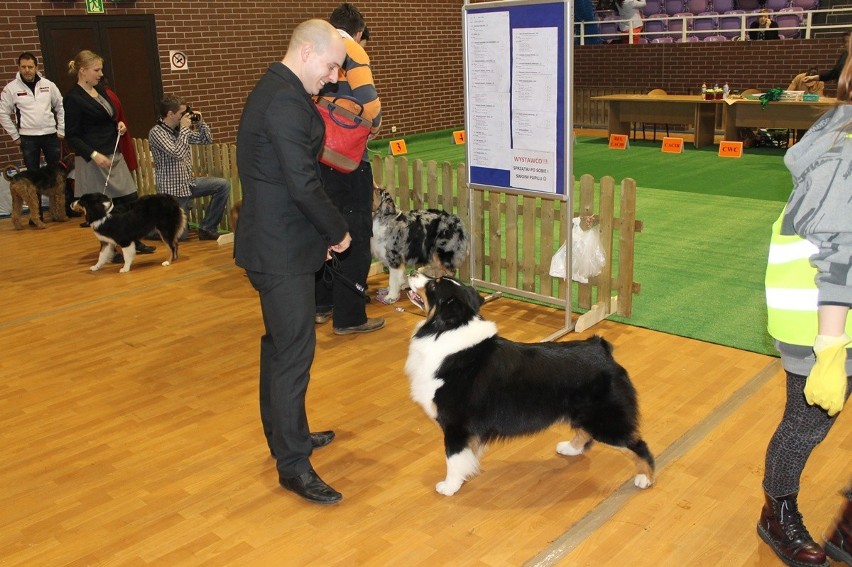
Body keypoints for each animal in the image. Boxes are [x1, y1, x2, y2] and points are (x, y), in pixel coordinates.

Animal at [404, 272, 652, 494]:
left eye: (433, 286)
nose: (412, 272)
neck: (446, 329)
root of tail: (602, 348)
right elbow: (466, 456)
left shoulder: (456, 425)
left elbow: (453, 458)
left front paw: (449, 487)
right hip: (585, 414)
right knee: (585, 433)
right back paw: (569, 449)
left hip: (606, 420)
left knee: (638, 446)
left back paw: (645, 479)